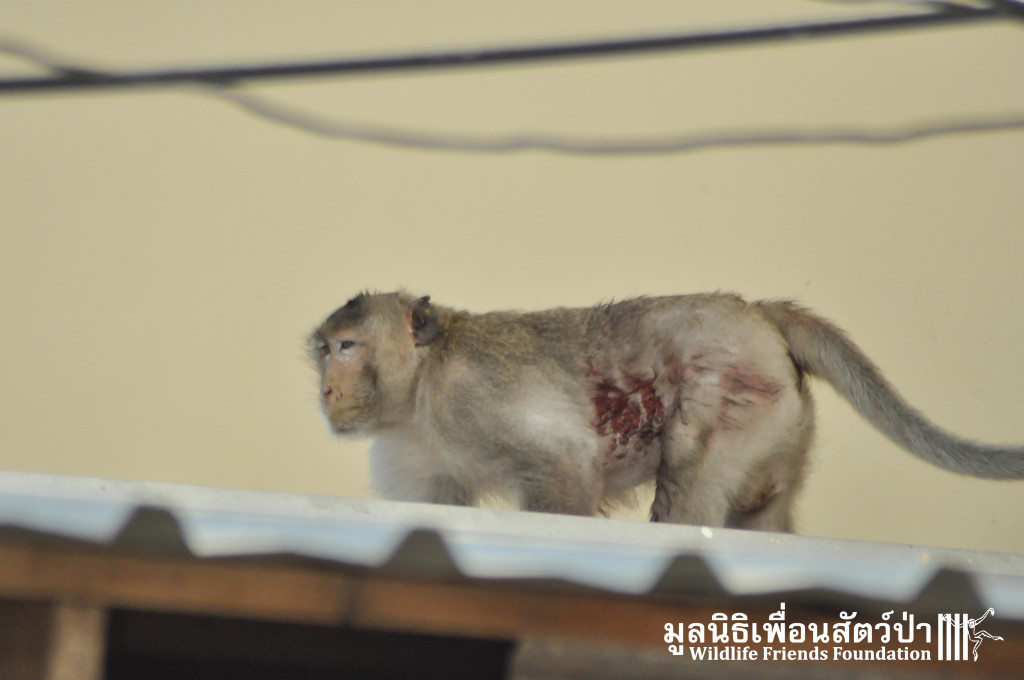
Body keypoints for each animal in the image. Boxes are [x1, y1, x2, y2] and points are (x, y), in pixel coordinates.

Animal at [308, 291, 1024, 532]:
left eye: (348, 347)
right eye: (323, 351)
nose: (326, 391)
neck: (420, 392)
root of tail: (758, 311)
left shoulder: (473, 396)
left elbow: (564, 463)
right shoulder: (411, 452)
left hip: (735, 390)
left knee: (688, 485)